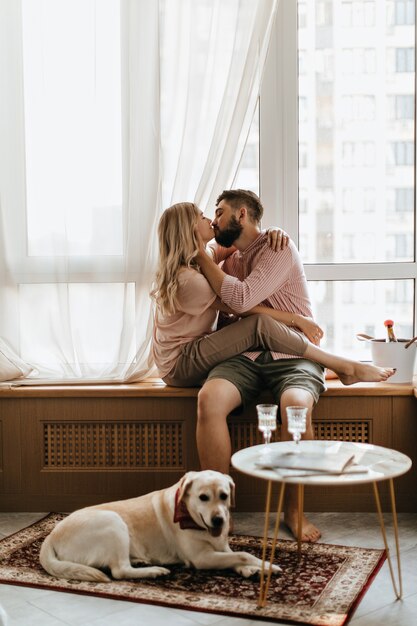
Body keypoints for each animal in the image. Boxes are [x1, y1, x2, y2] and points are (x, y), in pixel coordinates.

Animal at [39, 468, 280, 580]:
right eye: (203, 497)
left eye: (224, 496)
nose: (219, 519)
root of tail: (51, 535)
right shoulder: (201, 558)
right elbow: (243, 554)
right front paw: (267, 566)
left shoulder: (220, 547)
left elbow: (234, 555)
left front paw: (250, 569)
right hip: (114, 522)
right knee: (119, 571)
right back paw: (154, 571)